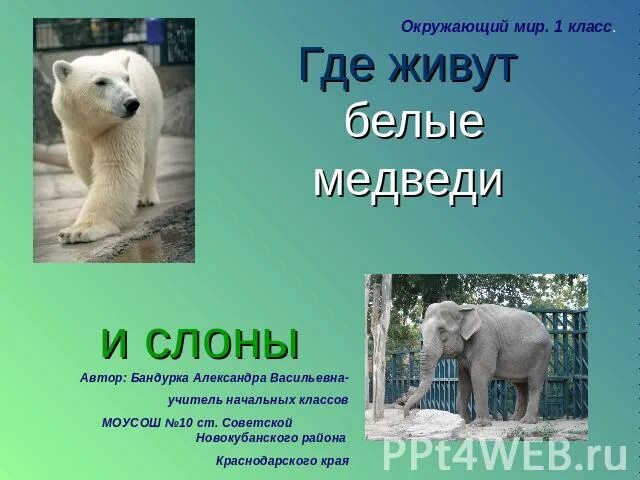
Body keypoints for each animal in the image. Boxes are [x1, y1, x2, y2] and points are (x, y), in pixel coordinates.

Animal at [51, 49, 163, 244]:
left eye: (126, 78)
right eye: (101, 82)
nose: (132, 103)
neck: (94, 126)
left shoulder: (120, 126)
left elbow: (117, 168)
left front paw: (78, 231)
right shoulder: (75, 132)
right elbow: (84, 164)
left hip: (154, 116)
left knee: (149, 157)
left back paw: (146, 197)